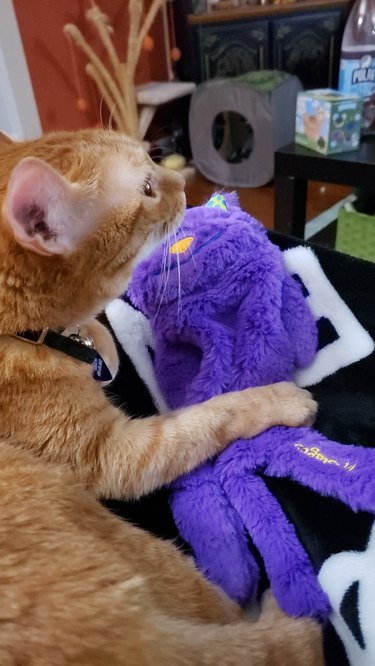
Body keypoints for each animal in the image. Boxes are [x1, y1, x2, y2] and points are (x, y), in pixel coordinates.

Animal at [0, 127, 324, 660]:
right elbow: (211, 416)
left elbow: (97, 333)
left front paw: (101, 342)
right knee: (239, 627)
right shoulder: (116, 453)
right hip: (133, 547)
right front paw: (279, 398)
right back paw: (288, 611)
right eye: (149, 189)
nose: (185, 184)